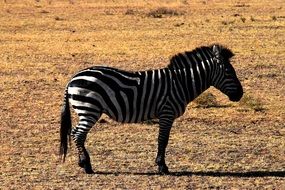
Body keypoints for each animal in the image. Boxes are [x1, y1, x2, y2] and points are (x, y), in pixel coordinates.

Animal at [59, 43, 242, 174]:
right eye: (228, 72)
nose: (240, 94)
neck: (181, 82)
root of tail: (72, 79)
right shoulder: (167, 112)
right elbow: (163, 140)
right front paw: (162, 167)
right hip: (89, 109)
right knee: (78, 134)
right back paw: (87, 166)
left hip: (87, 110)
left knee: (77, 134)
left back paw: (83, 163)